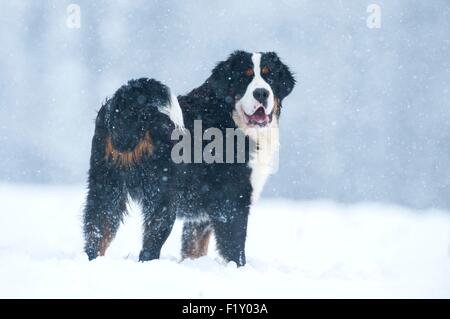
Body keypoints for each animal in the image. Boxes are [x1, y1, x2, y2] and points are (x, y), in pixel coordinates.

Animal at [83, 51, 296, 266]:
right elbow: (235, 249)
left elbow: (194, 249)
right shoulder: (232, 201)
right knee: (148, 249)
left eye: (270, 77)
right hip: (162, 199)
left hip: (105, 189)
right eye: (244, 77)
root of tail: (133, 105)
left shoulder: (199, 219)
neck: (229, 117)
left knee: (96, 235)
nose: (261, 93)